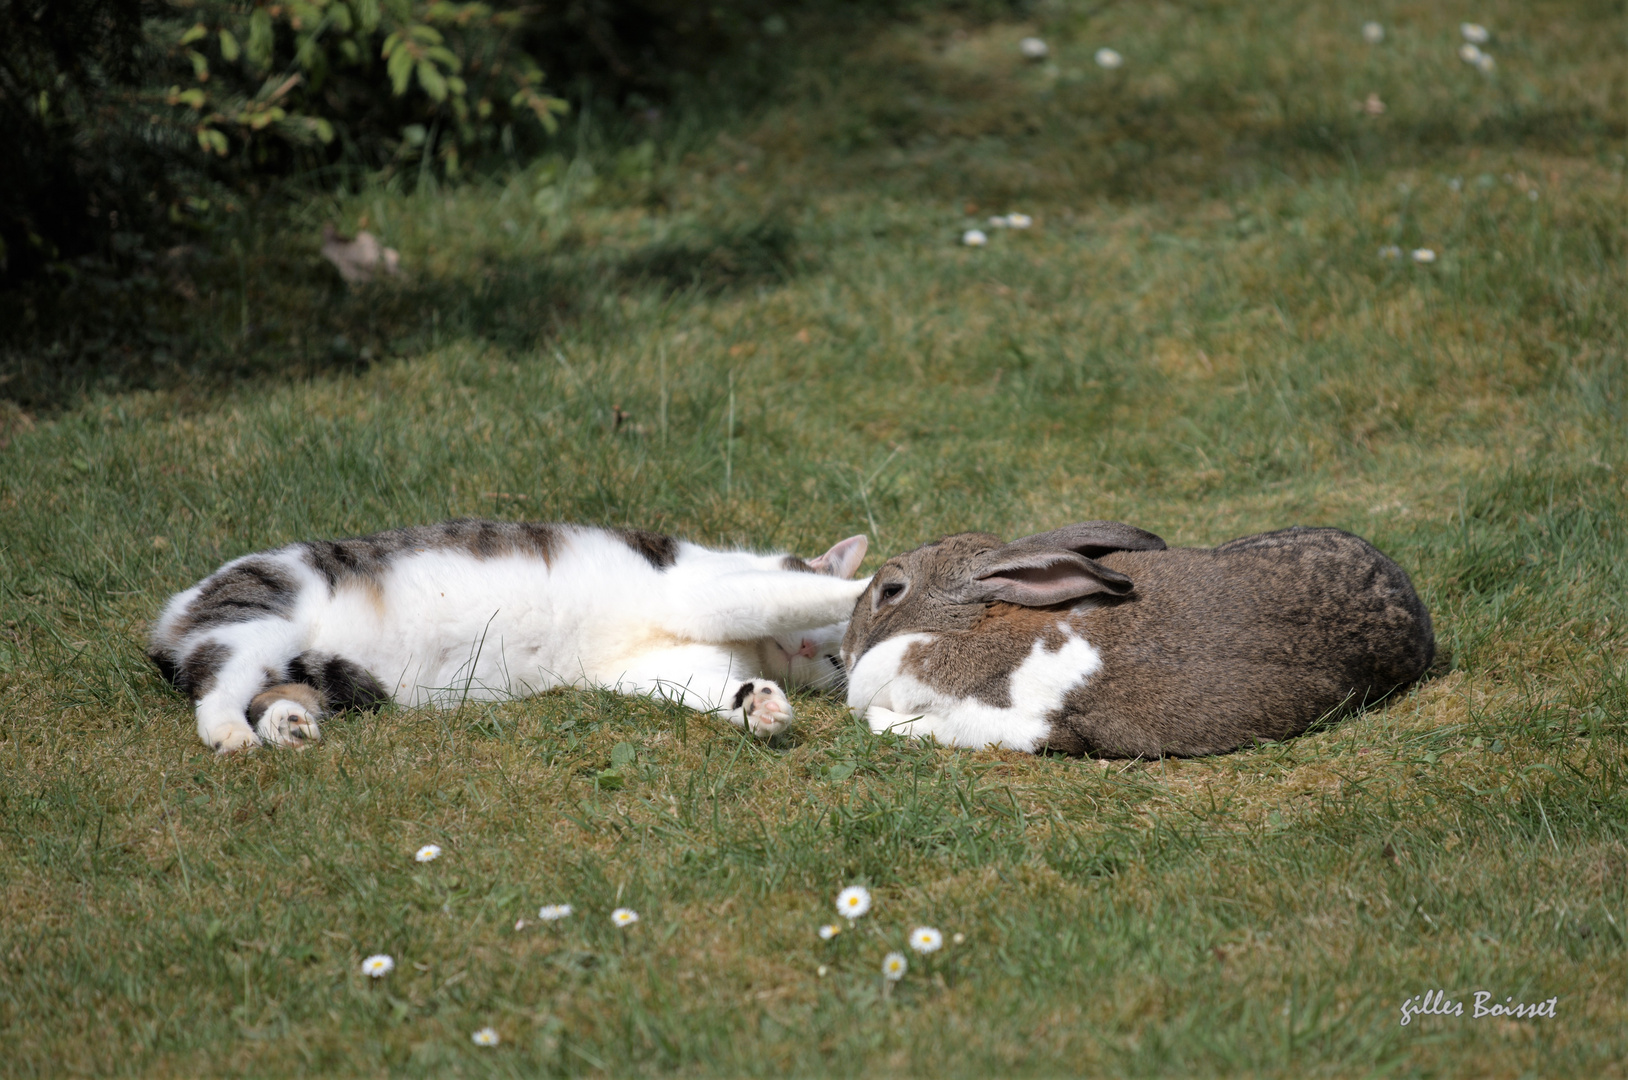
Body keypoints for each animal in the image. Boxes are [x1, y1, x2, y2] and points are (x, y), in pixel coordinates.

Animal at [146, 521, 872, 755]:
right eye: (822, 642)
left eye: (834, 661)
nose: (804, 650)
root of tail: (173, 611)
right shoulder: (704, 593)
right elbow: (786, 592)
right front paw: (877, 581)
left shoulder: (656, 664)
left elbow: (716, 688)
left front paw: (761, 708)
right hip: (265, 611)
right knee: (217, 687)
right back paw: (233, 734)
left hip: (317, 669)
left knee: (272, 690)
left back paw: (287, 725)